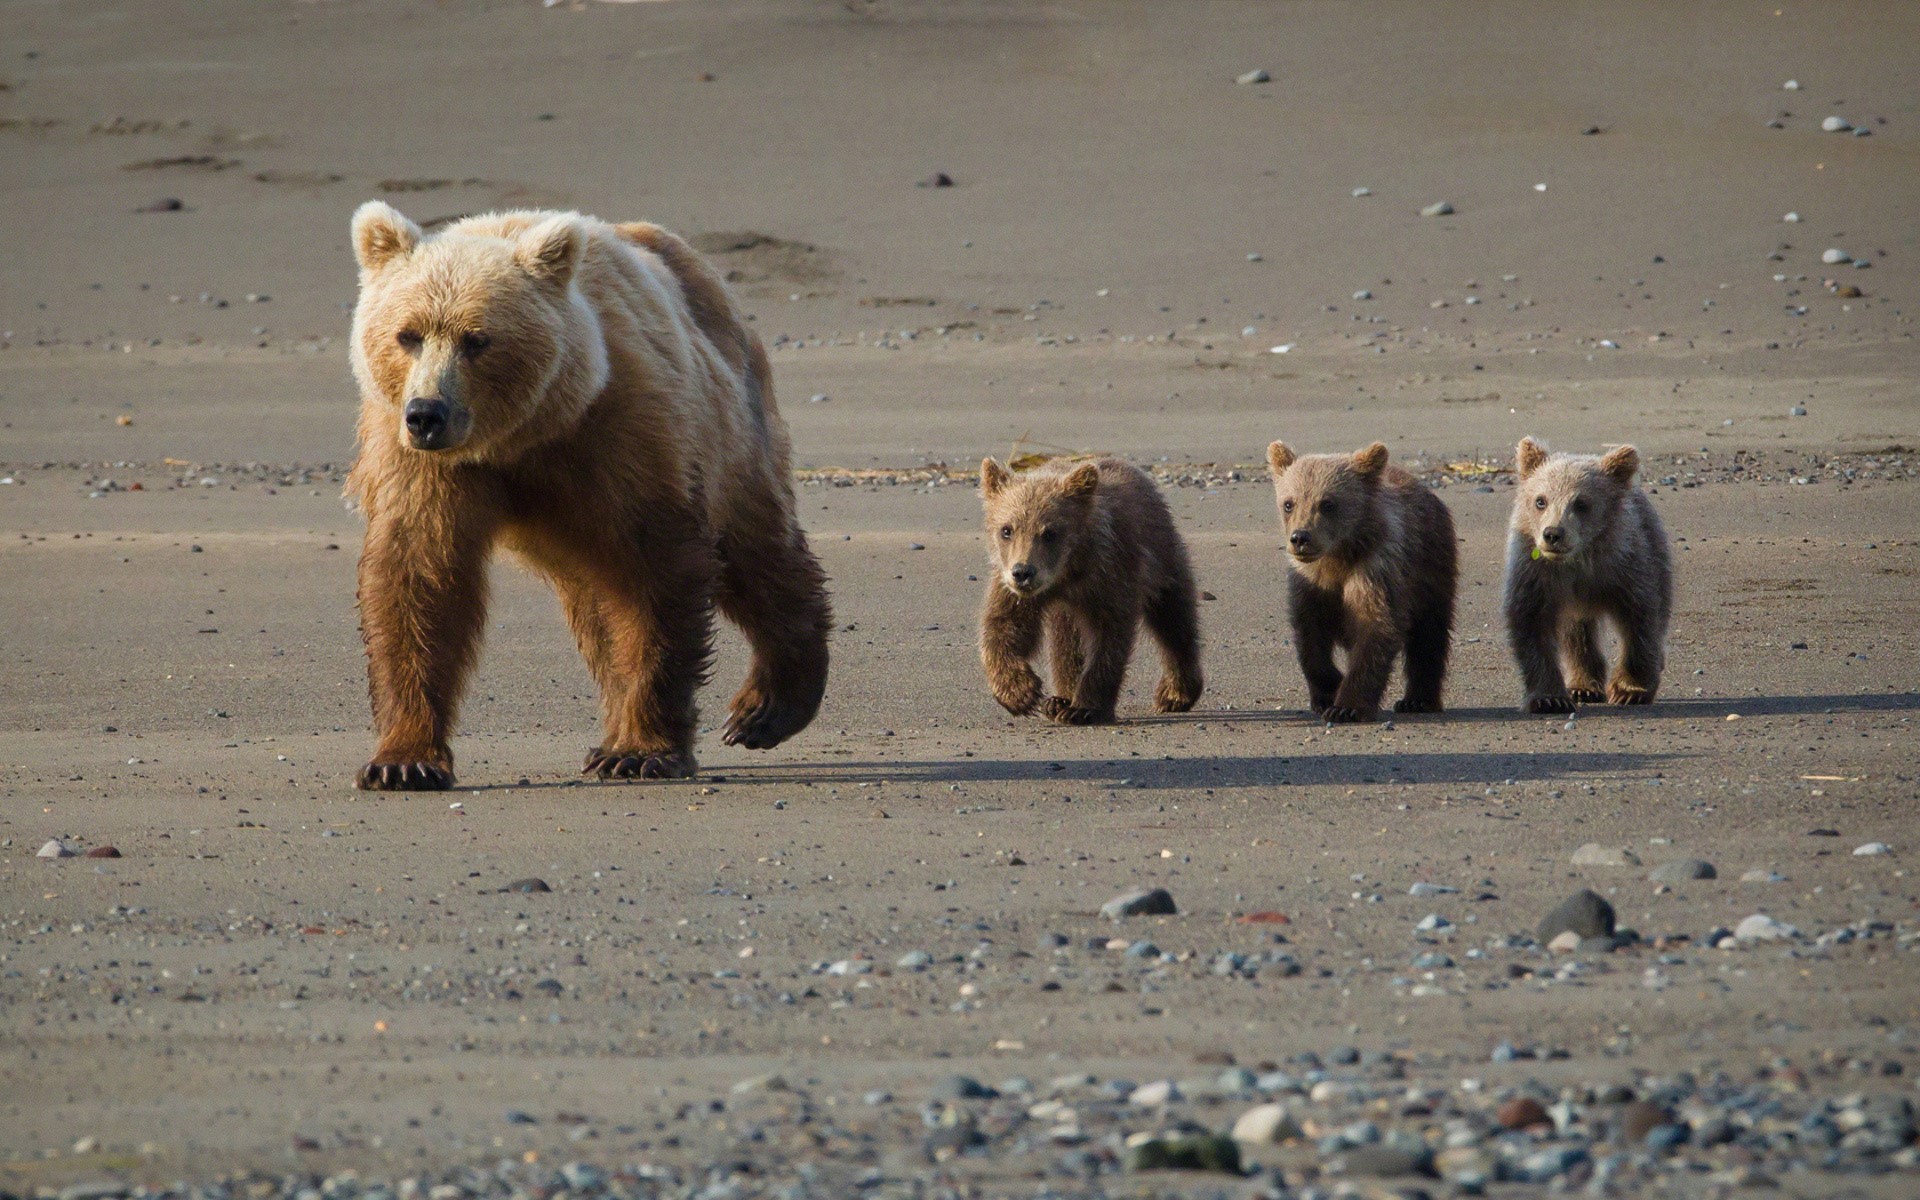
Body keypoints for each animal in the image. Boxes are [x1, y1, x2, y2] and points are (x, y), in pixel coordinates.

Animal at [345, 202, 832, 789]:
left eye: (477, 339)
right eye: (408, 334)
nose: (426, 414)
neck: (523, 435)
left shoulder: (623, 434)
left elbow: (653, 576)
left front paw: (641, 751)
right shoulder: (421, 465)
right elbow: (420, 576)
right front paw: (403, 760)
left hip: (730, 425)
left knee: (754, 552)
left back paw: (766, 707)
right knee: (600, 607)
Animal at [977, 457, 1203, 724]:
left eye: (1050, 532)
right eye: (1007, 530)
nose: (1023, 572)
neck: (1067, 572)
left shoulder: (1111, 575)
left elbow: (1108, 638)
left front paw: (1085, 708)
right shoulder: (1012, 586)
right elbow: (1005, 626)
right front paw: (1019, 692)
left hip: (1162, 559)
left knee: (1174, 620)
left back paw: (1175, 693)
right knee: (1067, 640)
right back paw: (1060, 699)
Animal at [1265, 441, 1458, 722]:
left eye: (1327, 503)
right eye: (1289, 503)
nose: (1300, 538)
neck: (1337, 558)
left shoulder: (1375, 570)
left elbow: (1375, 626)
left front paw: (1346, 706)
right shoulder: (1309, 583)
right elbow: (1309, 635)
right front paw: (1328, 691)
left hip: (1431, 569)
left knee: (1429, 634)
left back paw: (1417, 700)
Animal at [1503, 437, 1672, 712]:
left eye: (1581, 503)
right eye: (1540, 500)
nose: (1553, 534)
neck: (1578, 561)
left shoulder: (1625, 567)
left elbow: (1640, 619)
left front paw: (1629, 691)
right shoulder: (1536, 575)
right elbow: (1531, 624)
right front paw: (1549, 698)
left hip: (1657, 551)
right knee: (1577, 634)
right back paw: (1583, 687)